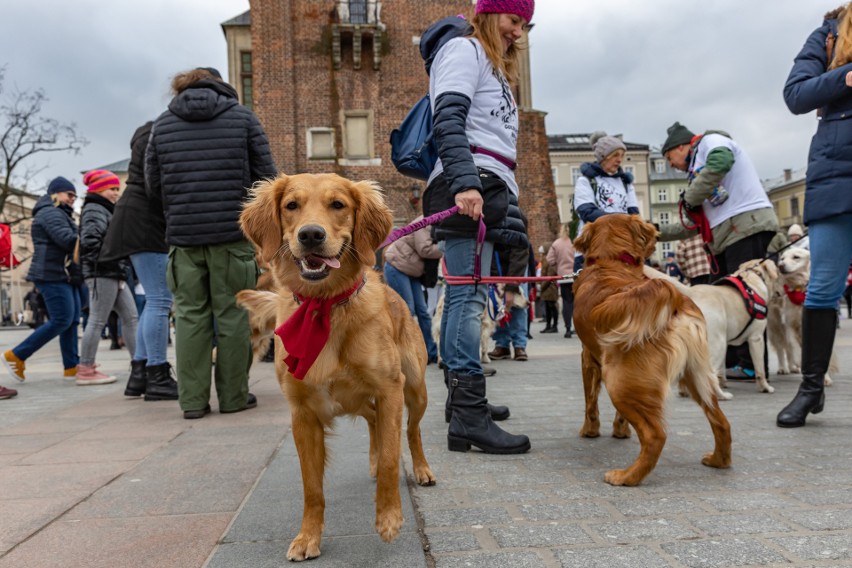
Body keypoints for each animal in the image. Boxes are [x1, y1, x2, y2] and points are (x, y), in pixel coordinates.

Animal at [236, 174, 436, 564]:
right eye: (291, 205)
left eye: (338, 205)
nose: (311, 235)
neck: (324, 306)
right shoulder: (303, 413)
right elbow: (312, 487)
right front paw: (307, 537)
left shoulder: (390, 390)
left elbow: (391, 460)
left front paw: (389, 518)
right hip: (354, 400)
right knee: (374, 423)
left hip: (415, 389)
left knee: (412, 431)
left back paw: (421, 469)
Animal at [568, 215, 728, 486]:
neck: (611, 262)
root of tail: (675, 299)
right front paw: (620, 431)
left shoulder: (587, 357)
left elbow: (590, 402)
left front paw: (589, 431)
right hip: (696, 376)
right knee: (721, 421)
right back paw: (719, 461)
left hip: (619, 380)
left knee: (655, 435)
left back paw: (627, 476)